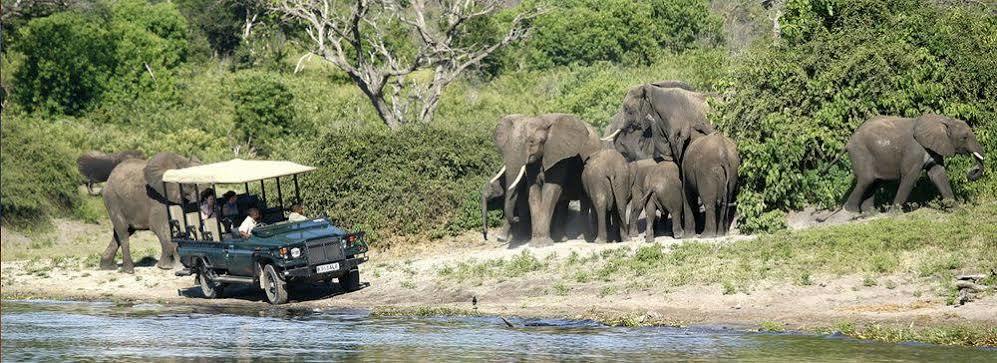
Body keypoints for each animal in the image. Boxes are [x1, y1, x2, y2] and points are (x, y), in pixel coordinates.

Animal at [492, 114, 600, 247]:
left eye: (531, 142)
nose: (516, 219)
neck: (542, 120)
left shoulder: (558, 156)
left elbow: (550, 190)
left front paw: (542, 244)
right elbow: (534, 192)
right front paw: (536, 243)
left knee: (584, 200)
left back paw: (586, 238)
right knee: (563, 202)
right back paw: (561, 239)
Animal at [824, 114, 980, 218]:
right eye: (965, 137)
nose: (972, 171)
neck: (942, 121)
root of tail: (848, 143)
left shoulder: (934, 148)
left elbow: (938, 174)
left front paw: (957, 210)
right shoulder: (914, 151)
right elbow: (910, 177)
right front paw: (893, 214)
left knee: (873, 182)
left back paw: (871, 214)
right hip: (861, 153)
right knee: (866, 180)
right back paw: (851, 212)